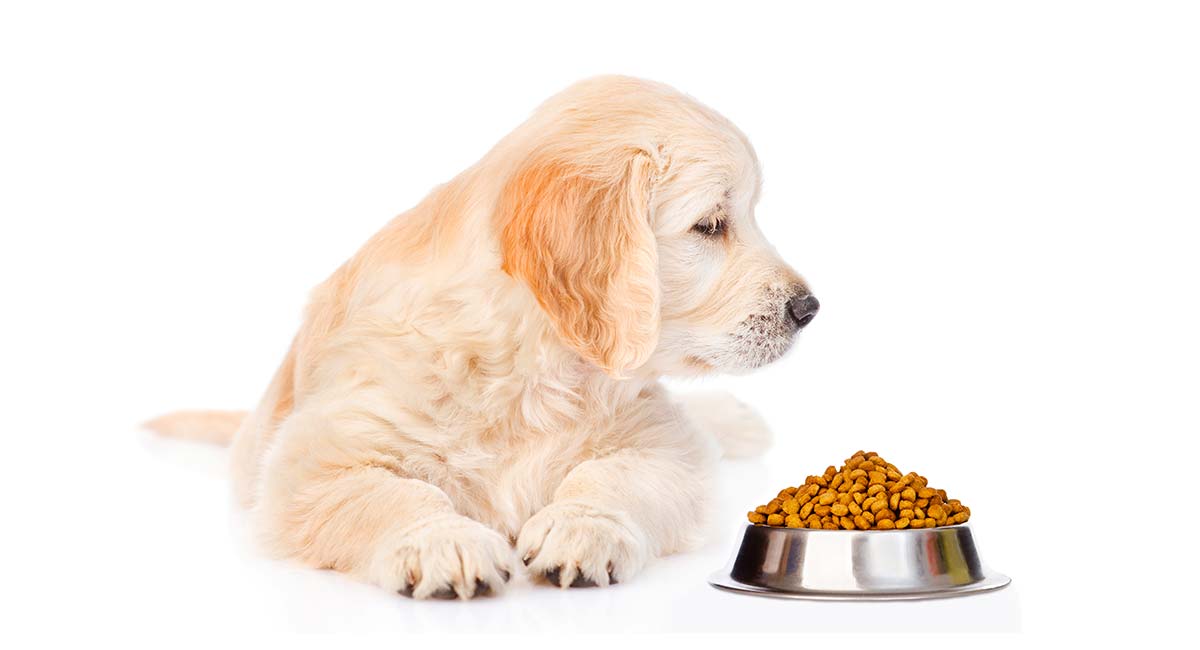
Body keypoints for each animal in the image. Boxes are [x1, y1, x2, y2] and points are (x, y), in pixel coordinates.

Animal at [147, 75, 816, 602]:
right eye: (711, 224)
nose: (808, 308)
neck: (530, 366)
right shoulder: (312, 461)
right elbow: (393, 494)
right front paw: (443, 541)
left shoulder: (665, 443)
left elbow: (616, 476)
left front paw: (582, 527)